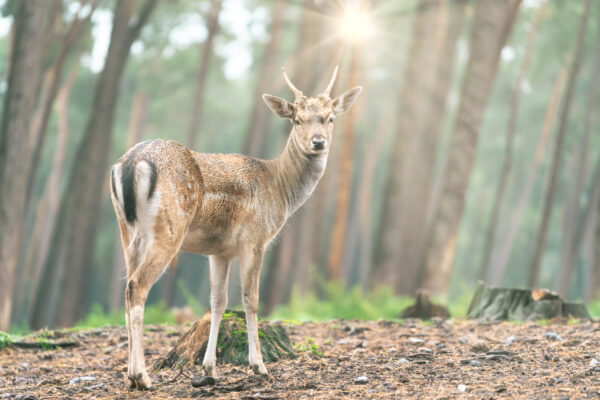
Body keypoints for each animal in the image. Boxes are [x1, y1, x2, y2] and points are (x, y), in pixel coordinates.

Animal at [109, 67, 360, 390]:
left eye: (330, 118)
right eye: (296, 119)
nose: (318, 142)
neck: (279, 188)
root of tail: (129, 166)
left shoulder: (220, 251)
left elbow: (218, 302)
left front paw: (210, 369)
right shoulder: (255, 237)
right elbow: (251, 299)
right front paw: (259, 366)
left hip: (126, 230)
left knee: (126, 287)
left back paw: (130, 376)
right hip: (168, 228)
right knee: (137, 285)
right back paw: (142, 376)